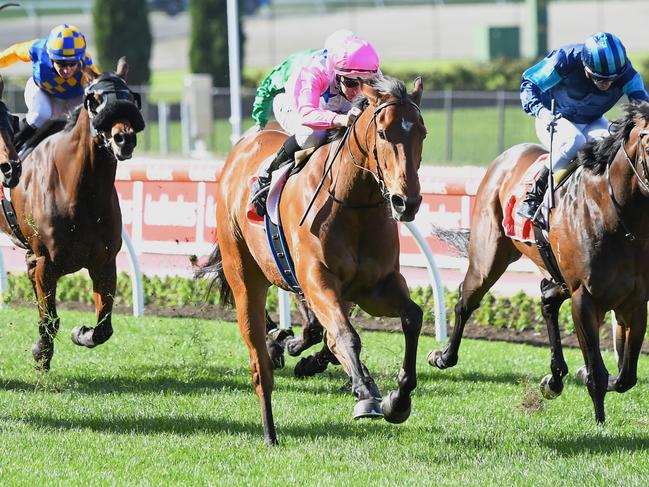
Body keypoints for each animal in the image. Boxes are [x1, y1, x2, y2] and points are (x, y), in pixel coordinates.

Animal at [0, 63, 143, 370]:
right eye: (95, 99)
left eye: (129, 97)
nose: (124, 138)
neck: (79, 191)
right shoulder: (46, 262)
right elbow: (49, 318)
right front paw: (41, 352)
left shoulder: (104, 262)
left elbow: (103, 328)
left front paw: (82, 333)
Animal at [202, 77, 426, 446]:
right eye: (382, 133)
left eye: (421, 132)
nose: (406, 202)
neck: (352, 200)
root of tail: (243, 147)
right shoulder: (317, 279)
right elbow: (345, 335)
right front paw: (366, 393)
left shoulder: (376, 287)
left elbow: (412, 317)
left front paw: (398, 399)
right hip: (244, 276)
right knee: (259, 365)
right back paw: (270, 431)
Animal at [428, 102, 648, 424]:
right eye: (647, 140)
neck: (617, 218)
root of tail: (506, 158)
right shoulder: (585, 298)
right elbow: (597, 371)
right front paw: (599, 422)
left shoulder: (634, 302)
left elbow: (625, 376)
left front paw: (584, 378)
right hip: (488, 257)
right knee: (466, 301)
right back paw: (444, 356)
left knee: (547, 298)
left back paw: (554, 378)